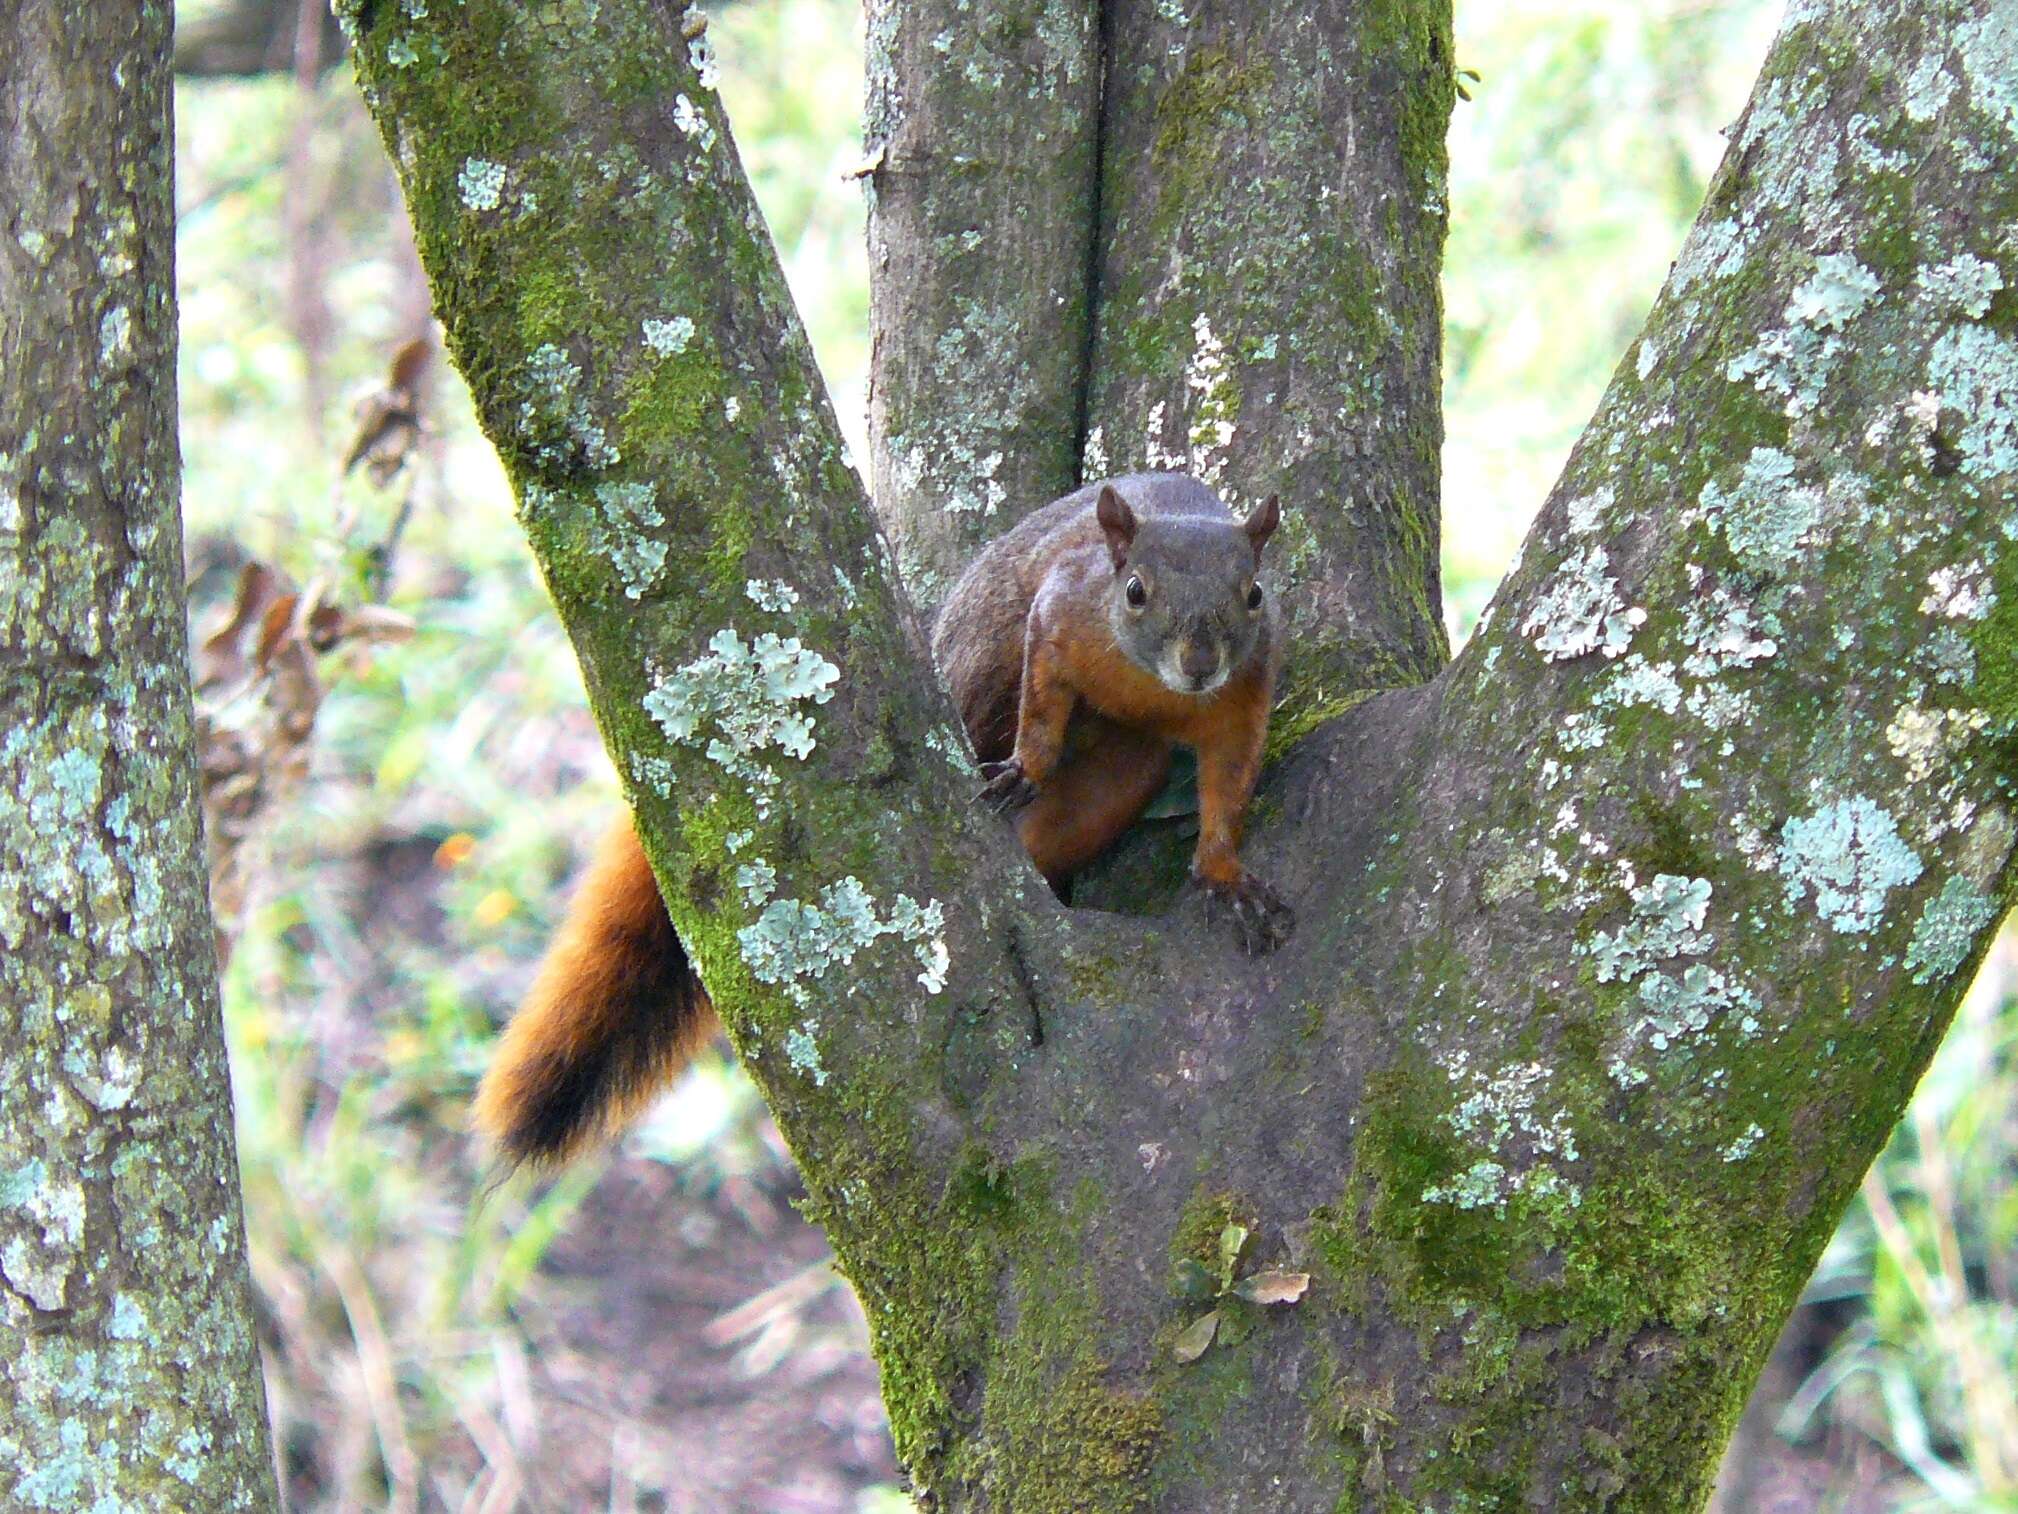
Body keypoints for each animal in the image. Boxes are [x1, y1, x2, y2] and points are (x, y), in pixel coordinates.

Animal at [476, 474, 1291, 1170]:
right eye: (1134, 590)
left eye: (1253, 593)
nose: (1200, 662)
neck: (1158, 691)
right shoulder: (1062, 618)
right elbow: (1042, 704)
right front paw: (1026, 766)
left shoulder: (1245, 696)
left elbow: (1230, 786)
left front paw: (1224, 874)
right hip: (983, 656)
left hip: (1123, 772)